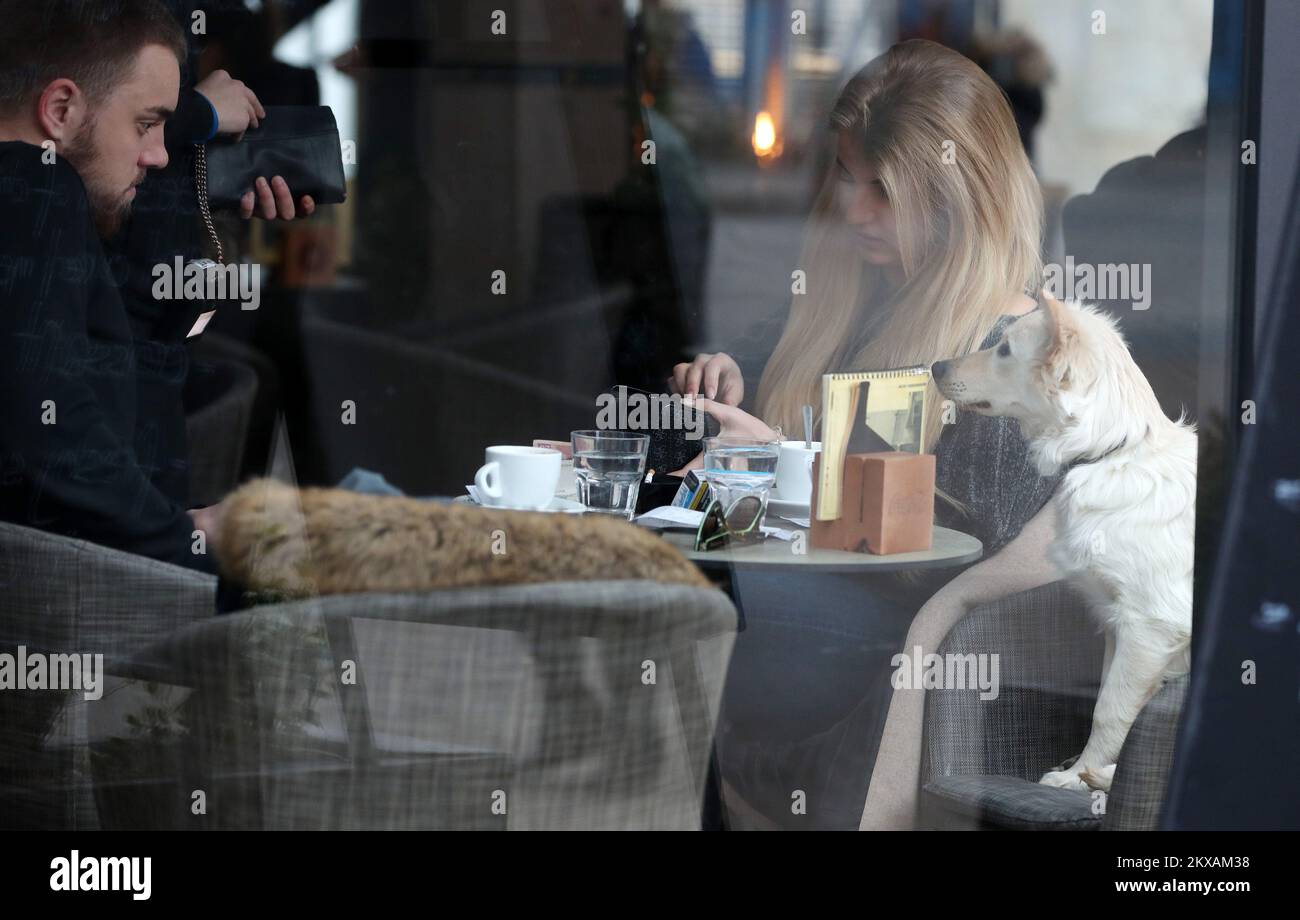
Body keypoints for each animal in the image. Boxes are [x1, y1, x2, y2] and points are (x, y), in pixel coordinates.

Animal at [930, 292, 1190, 790]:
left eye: (1004, 349)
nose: (936, 366)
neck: (1112, 454)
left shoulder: (1149, 626)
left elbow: (1111, 711)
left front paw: (1077, 778)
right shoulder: (1116, 623)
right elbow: (1103, 701)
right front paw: (1082, 771)